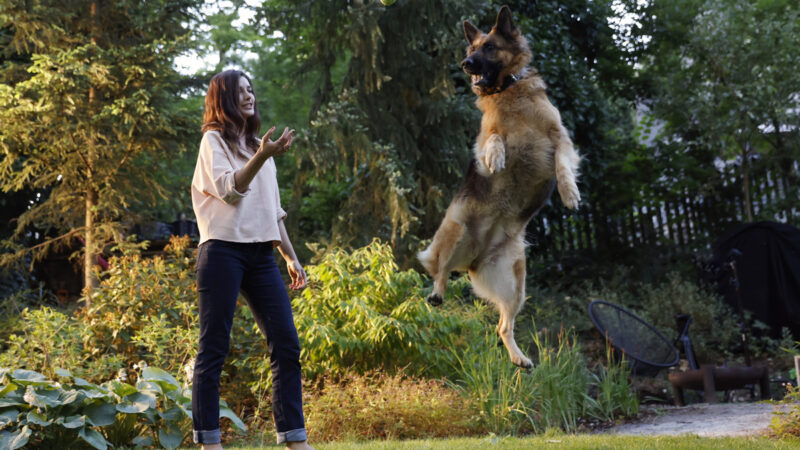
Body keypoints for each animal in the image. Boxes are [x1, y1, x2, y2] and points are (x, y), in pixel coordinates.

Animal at [418, 5, 580, 368]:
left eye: (490, 47)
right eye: (470, 49)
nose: (466, 64)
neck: (508, 90)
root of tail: (475, 258)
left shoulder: (560, 137)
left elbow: (563, 164)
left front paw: (569, 192)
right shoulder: (481, 138)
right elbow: (493, 137)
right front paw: (497, 157)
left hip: (516, 283)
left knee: (503, 326)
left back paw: (520, 359)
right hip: (456, 229)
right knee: (440, 269)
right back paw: (437, 293)